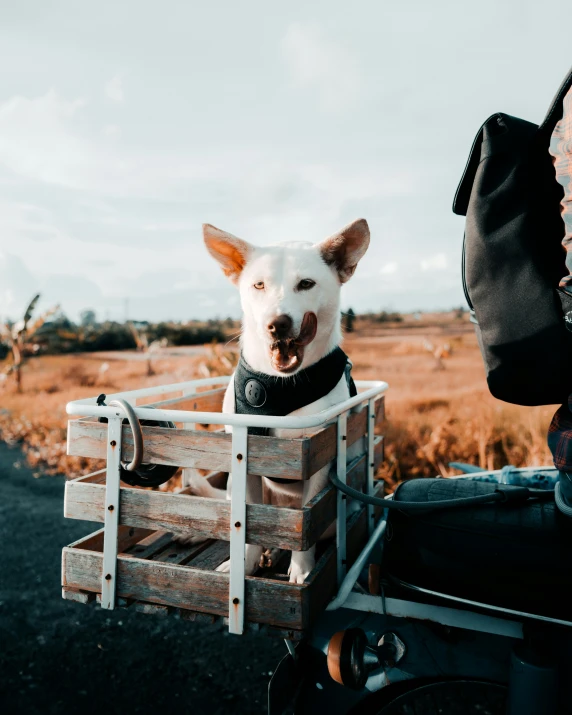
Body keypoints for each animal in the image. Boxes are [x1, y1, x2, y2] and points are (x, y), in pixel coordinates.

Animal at [203, 221, 368, 584]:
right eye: (258, 285)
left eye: (306, 284)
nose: (277, 324)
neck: (276, 386)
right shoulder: (245, 466)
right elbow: (248, 527)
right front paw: (244, 564)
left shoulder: (317, 465)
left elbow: (306, 527)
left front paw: (302, 570)